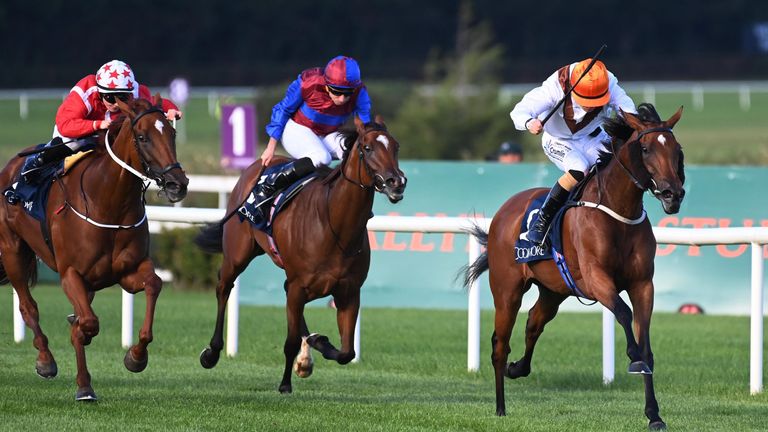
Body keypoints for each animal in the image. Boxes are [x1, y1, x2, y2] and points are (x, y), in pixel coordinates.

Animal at [0, 96, 189, 400]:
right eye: (142, 137)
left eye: (172, 133)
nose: (178, 184)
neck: (109, 201)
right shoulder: (70, 274)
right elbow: (88, 323)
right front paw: (82, 378)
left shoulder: (128, 270)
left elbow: (154, 285)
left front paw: (135, 357)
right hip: (13, 251)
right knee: (28, 307)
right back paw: (48, 362)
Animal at [195, 116, 404, 394]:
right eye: (367, 148)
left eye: (396, 147)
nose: (397, 182)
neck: (335, 225)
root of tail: (258, 165)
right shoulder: (299, 286)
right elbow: (290, 342)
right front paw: (285, 383)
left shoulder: (348, 292)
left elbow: (346, 352)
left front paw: (317, 346)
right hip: (237, 254)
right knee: (223, 288)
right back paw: (212, 352)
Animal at [464, 104, 688, 428]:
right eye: (645, 149)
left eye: (677, 149)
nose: (673, 194)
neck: (618, 212)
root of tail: (506, 209)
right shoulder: (597, 279)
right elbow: (623, 312)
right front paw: (633, 358)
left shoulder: (643, 284)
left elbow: (645, 343)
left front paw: (654, 415)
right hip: (507, 291)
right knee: (499, 345)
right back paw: (500, 406)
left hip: (553, 291)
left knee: (534, 324)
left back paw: (517, 368)